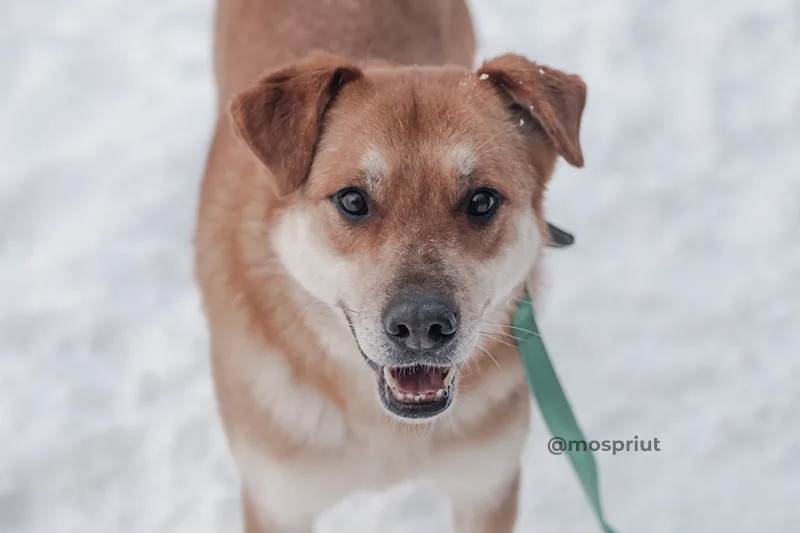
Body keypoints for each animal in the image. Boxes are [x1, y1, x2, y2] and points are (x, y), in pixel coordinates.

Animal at [196, 1, 584, 532]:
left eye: (482, 200)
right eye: (353, 200)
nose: (421, 327)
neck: (389, 429)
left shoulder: (486, 484)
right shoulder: (279, 499)